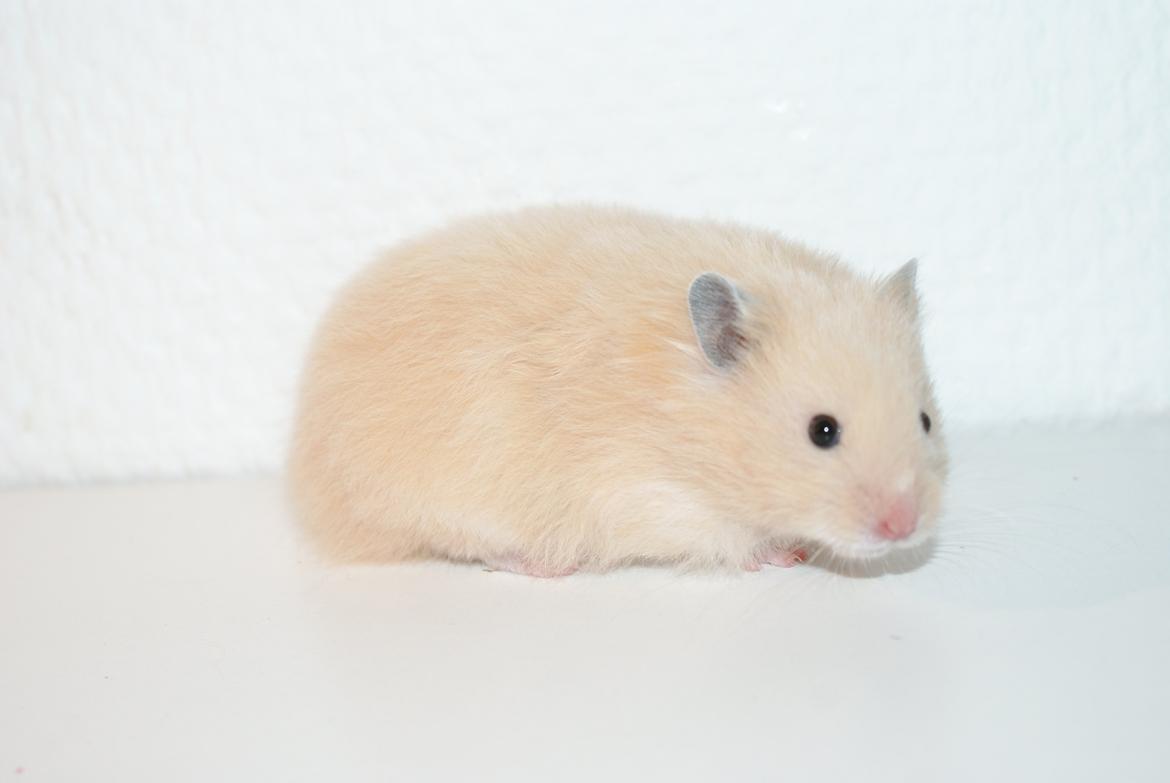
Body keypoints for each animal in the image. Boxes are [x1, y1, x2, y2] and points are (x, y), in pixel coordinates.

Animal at [289, 205, 948, 575]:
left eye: (924, 420)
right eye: (822, 431)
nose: (905, 527)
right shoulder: (655, 499)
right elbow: (732, 541)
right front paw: (785, 553)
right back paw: (545, 567)